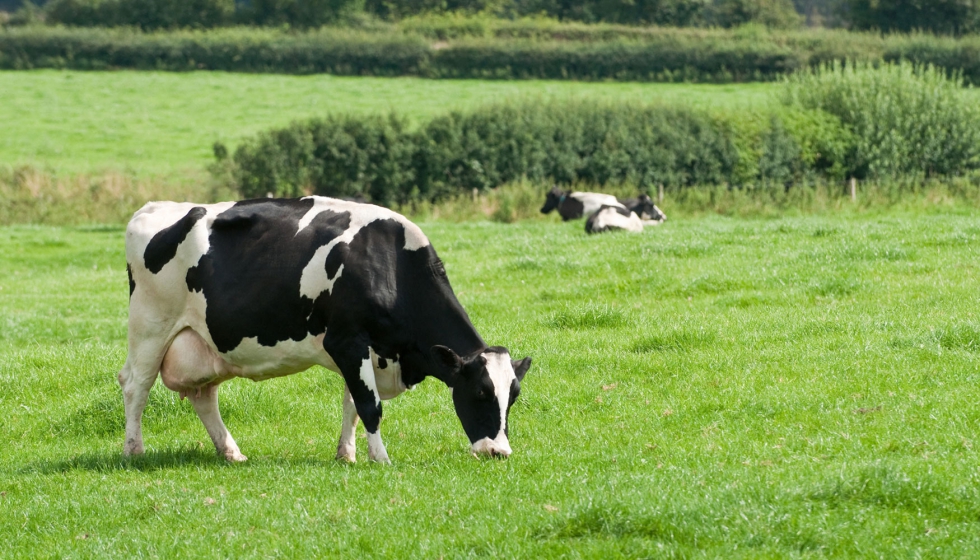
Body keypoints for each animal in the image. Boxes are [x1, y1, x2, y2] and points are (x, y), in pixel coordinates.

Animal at [119, 197, 532, 464]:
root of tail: (152, 207)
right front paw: (380, 458)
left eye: (512, 397)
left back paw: (231, 452)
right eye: (479, 392)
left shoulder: (365, 351)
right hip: (151, 326)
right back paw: (134, 449)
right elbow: (370, 405)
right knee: (136, 385)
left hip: (203, 343)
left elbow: (352, 402)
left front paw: (347, 454)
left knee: (204, 396)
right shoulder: (346, 340)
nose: (499, 452)